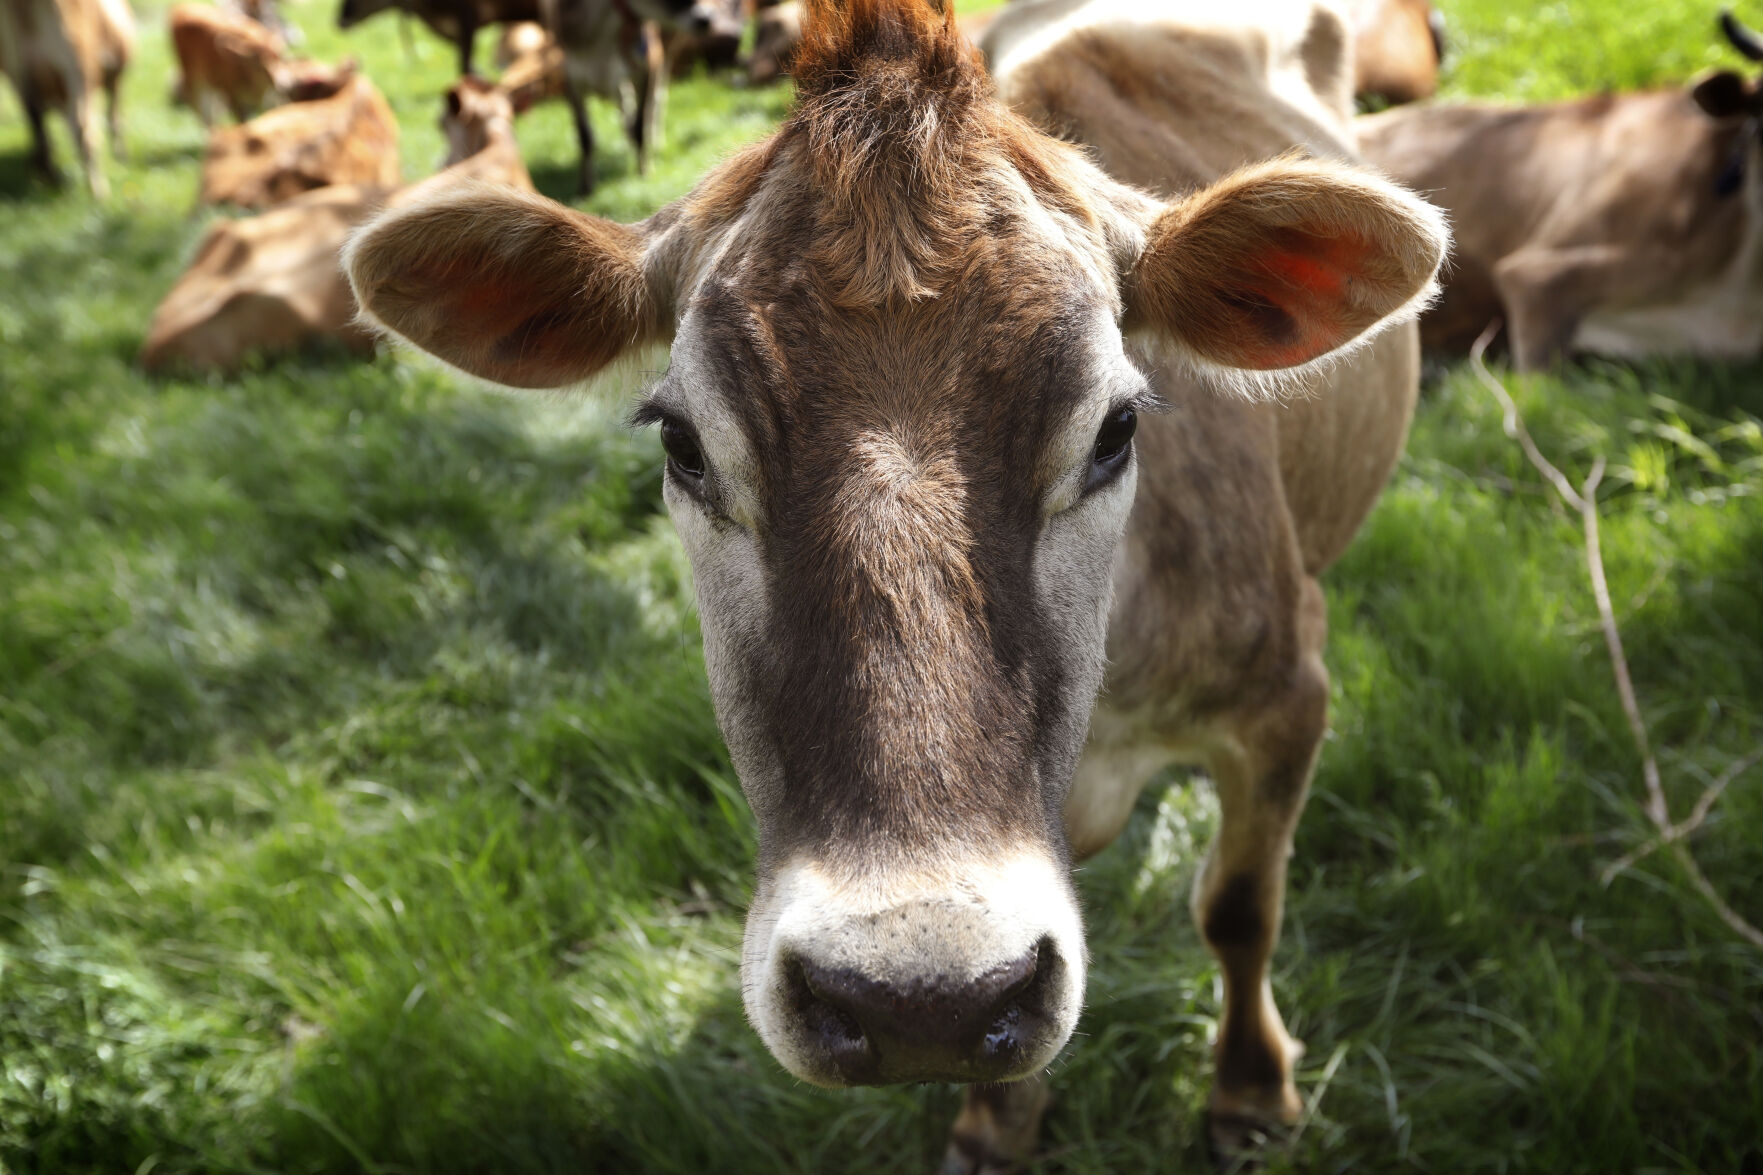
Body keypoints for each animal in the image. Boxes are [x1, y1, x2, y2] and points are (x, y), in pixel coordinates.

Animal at [340, 0, 1445, 1164]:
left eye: (1115, 427)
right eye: (681, 443)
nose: (921, 1001)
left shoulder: (1287, 693)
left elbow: (1238, 905)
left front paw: (1248, 1093)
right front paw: (995, 1125)